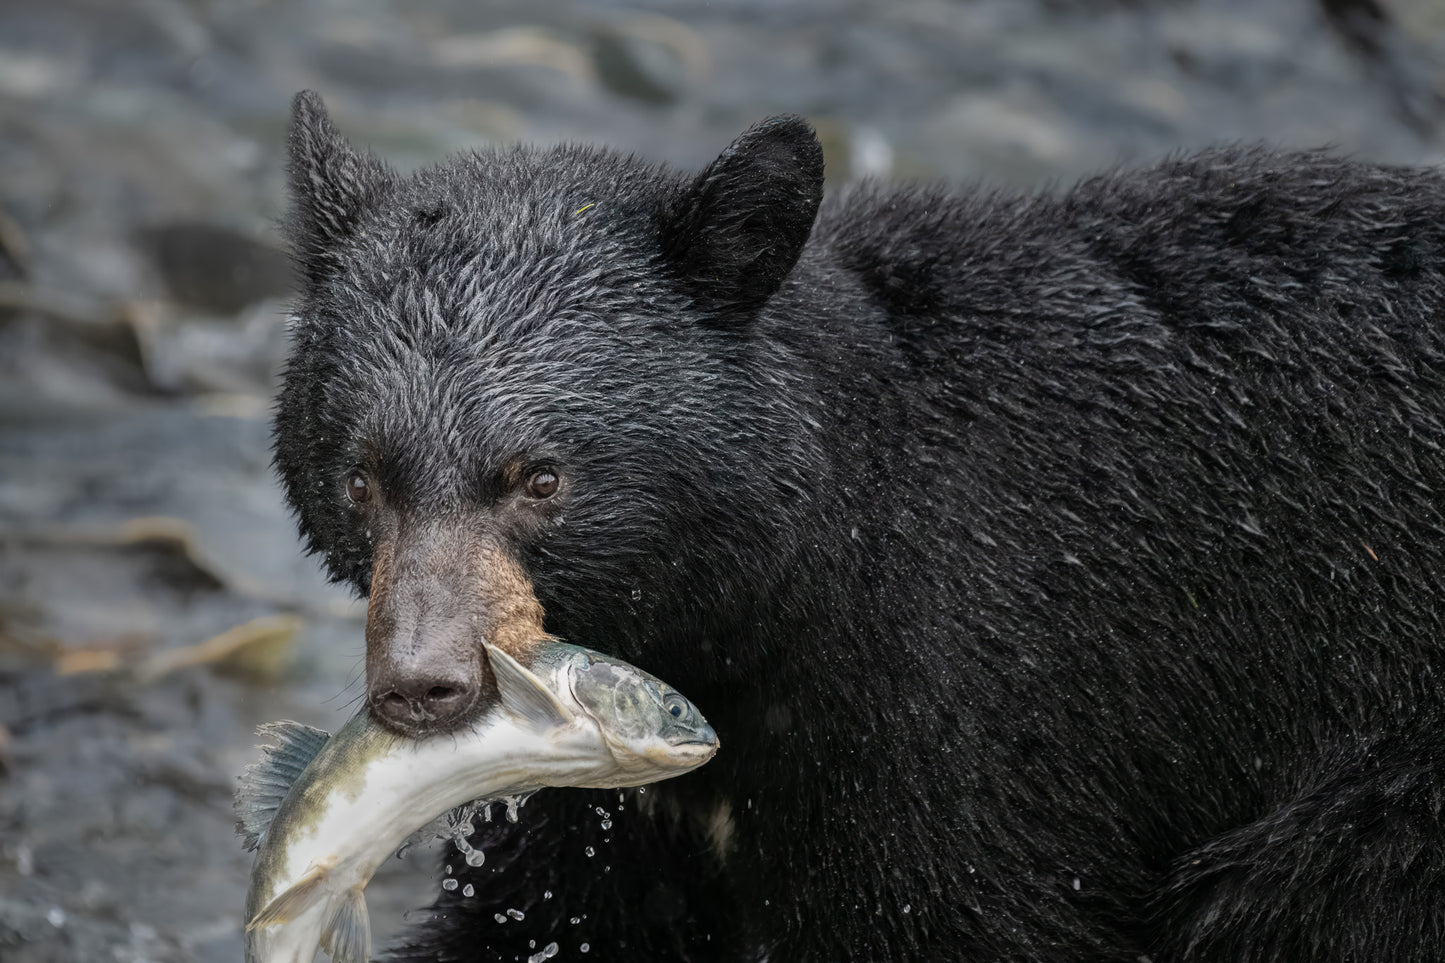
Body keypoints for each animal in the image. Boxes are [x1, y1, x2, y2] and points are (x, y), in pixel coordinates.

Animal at [272, 89, 1445, 962]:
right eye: (361, 479)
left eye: (540, 477)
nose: (422, 686)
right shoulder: (596, 799)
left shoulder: (960, 713)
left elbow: (950, 910)